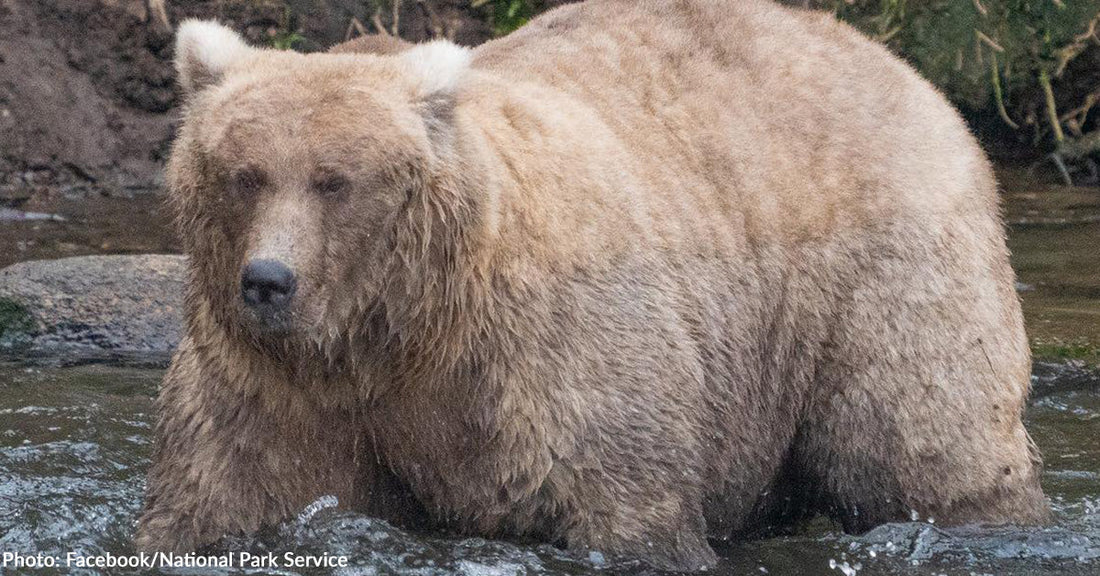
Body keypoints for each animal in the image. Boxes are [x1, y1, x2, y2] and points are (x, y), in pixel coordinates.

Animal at [136, 0, 1050, 570]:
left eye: (335, 180)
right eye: (245, 174)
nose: (269, 281)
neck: (399, 331)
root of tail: (892, 61)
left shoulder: (547, 356)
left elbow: (623, 497)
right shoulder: (273, 387)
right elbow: (221, 499)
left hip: (882, 274)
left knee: (921, 442)